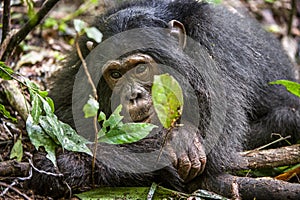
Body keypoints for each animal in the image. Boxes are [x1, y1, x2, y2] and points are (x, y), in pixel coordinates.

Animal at [27, 0, 300, 199]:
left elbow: (218, 147)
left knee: (288, 117)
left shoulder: (214, 52)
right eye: (115, 74)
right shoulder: (82, 58)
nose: (133, 95)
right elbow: (64, 114)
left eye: (140, 69)